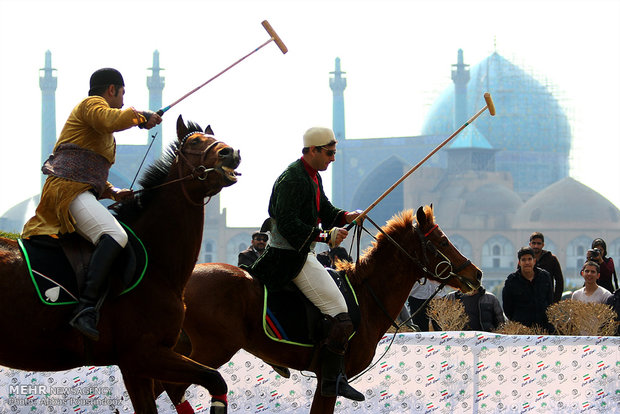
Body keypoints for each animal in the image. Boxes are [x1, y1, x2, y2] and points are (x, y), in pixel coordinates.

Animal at [0, 115, 240, 414]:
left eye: (214, 137)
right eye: (195, 141)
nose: (230, 153)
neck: (156, 264)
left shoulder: (137, 364)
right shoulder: (142, 352)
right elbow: (214, 378)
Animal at [162, 205, 482, 412]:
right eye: (443, 241)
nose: (476, 274)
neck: (366, 296)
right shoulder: (330, 381)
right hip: (212, 349)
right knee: (178, 388)